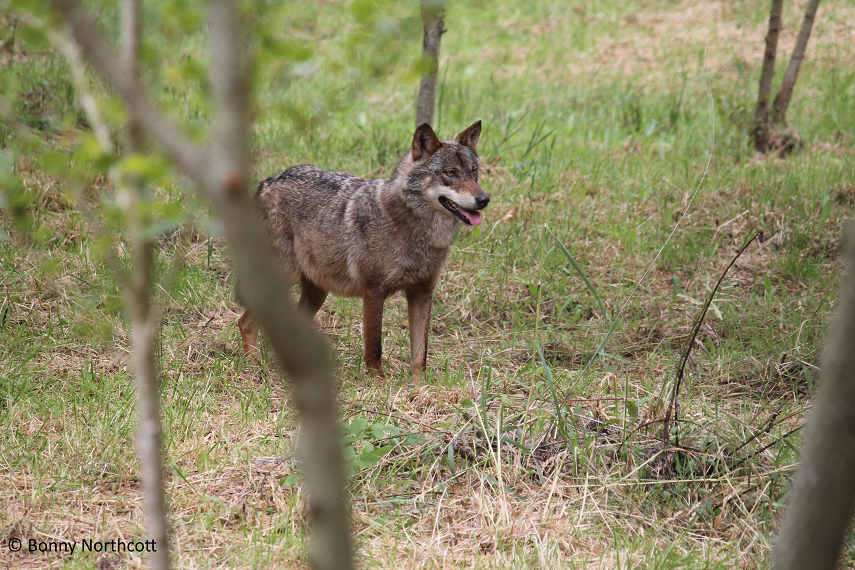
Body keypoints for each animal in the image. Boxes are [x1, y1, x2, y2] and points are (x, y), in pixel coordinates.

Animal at [237, 120, 492, 378]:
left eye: (474, 172)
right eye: (450, 173)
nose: (483, 200)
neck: (418, 234)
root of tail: (272, 179)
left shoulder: (421, 293)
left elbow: (421, 354)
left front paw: (419, 384)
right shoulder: (373, 291)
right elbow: (374, 345)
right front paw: (378, 382)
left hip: (316, 293)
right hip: (282, 279)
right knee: (245, 322)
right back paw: (256, 365)